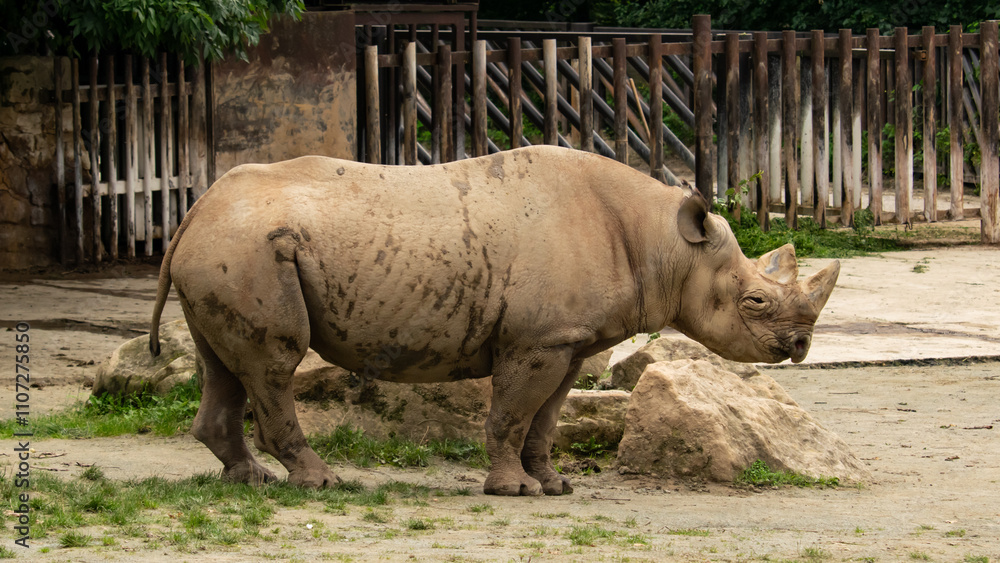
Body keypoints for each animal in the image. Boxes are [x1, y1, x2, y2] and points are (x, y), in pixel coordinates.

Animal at [149, 145, 839, 496]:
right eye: (754, 303)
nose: (801, 344)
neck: (666, 246)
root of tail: (196, 209)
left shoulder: (570, 341)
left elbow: (547, 418)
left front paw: (553, 485)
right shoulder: (536, 340)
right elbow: (511, 413)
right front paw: (514, 490)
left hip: (229, 251)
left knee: (226, 364)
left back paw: (251, 480)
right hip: (246, 249)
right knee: (275, 363)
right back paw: (320, 482)